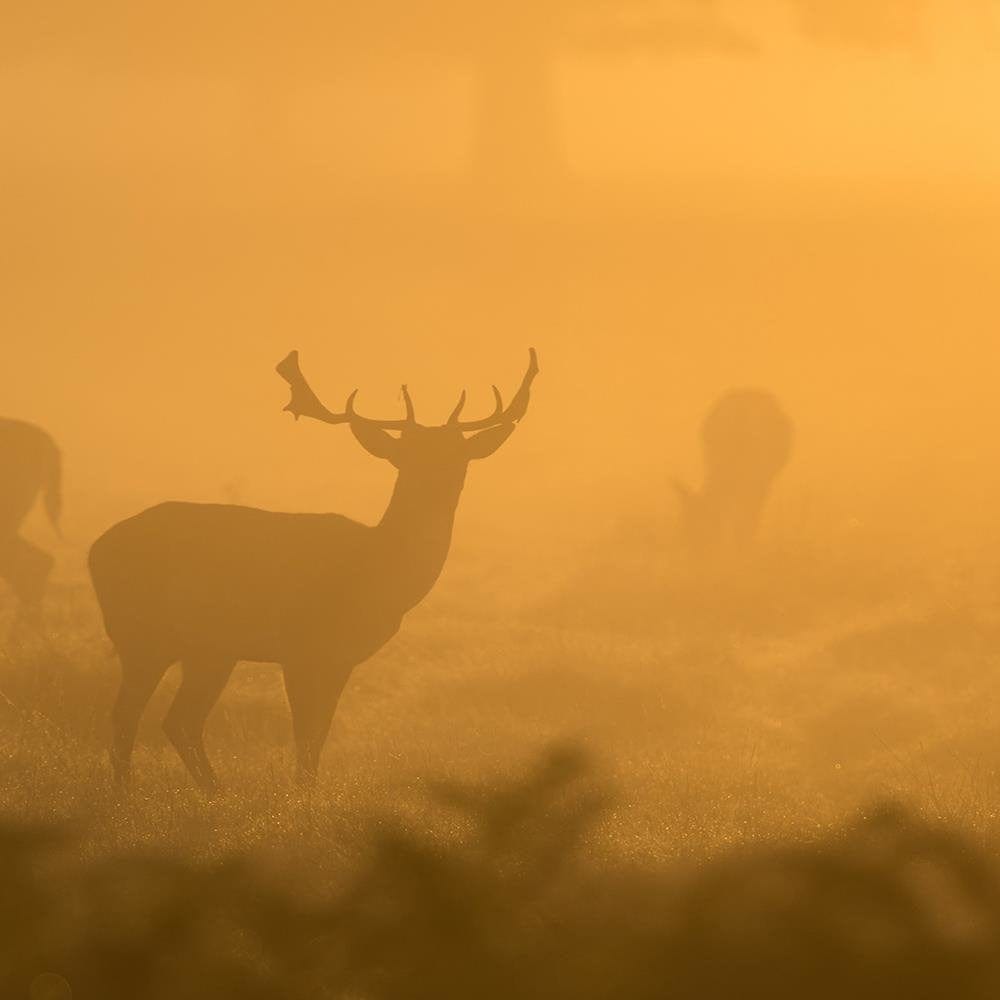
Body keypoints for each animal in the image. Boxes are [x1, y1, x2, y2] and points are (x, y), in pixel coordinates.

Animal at [89, 349, 539, 793]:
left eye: (459, 455)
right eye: (404, 456)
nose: (435, 486)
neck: (376, 573)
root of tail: (94, 551)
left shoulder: (341, 658)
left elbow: (319, 733)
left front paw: (309, 790)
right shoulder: (300, 646)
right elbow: (305, 733)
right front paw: (302, 795)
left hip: (208, 650)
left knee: (177, 719)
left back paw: (211, 790)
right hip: (143, 634)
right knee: (129, 715)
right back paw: (129, 790)